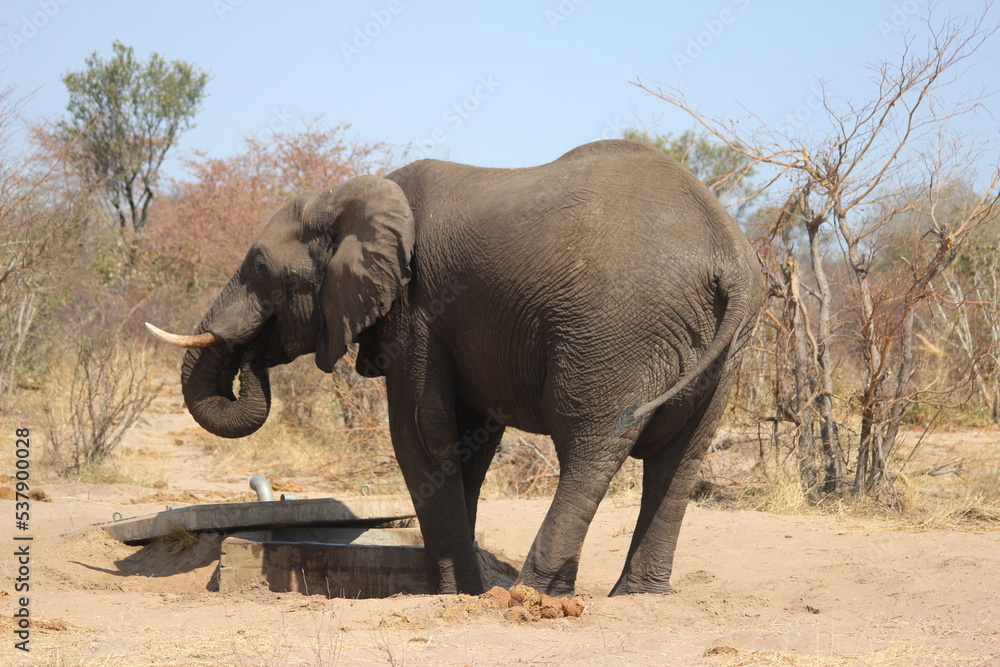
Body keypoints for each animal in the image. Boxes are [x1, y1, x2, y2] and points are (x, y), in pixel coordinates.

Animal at [147, 139, 763, 596]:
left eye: (258, 266)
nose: (252, 350)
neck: (355, 193)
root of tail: (727, 251)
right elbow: (472, 438)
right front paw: (463, 586)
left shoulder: (419, 307)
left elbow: (422, 431)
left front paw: (452, 592)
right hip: (723, 351)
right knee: (681, 458)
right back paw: (635, 596)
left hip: (614, 329)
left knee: (590, 444)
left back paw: (531, 595)